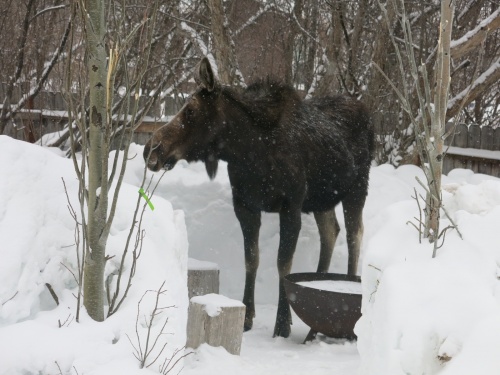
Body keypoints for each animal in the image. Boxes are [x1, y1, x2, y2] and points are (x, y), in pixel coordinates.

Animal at [143, 57, 374, 340]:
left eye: (190, 111)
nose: (150, 149)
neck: (247, 152)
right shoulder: (245, 205)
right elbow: (252, 259)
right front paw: (247, 317)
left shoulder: (291, 205)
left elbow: (283, 264)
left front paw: (282, 323)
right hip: (321, 199)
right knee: (331, 231)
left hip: (357, 188)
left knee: (354, 234)